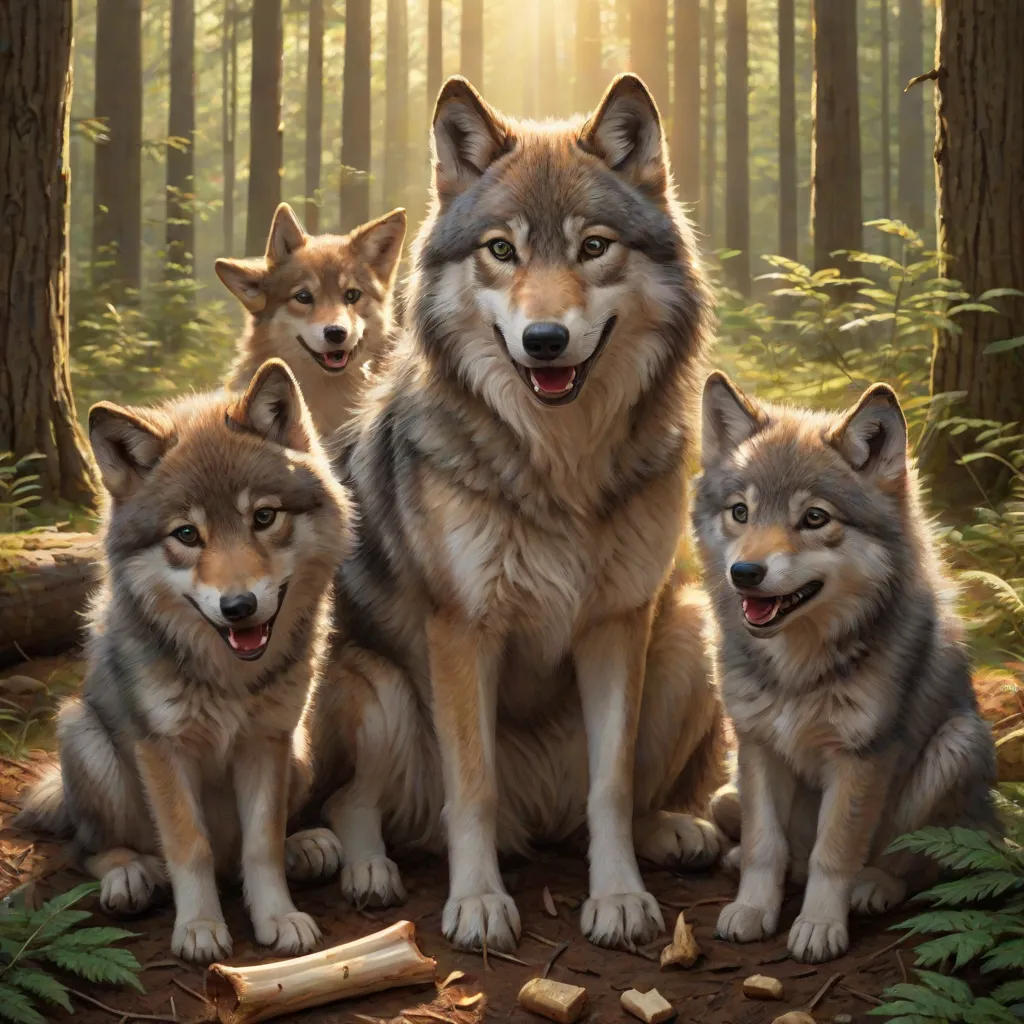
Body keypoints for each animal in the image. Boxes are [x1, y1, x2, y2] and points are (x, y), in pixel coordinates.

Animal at [18, 361, 351, 964]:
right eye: (187, 534)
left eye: (263, 517)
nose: (239, 606)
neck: (229, 679)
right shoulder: (163, 749)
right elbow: (189, 845)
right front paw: (198, 927)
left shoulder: (265, 741)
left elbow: (262, 844)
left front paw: (277, 917)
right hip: (84, 735)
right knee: (91, 849)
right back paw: (131, 875)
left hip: (301, 750)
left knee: (247, 852)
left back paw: (307, 846)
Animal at [310, 73, 725, 954]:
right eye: (501, 250)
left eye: (593, 247)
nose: (544, 340)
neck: (558, 464)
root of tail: (537, 819)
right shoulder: (464, 629)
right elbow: (472, 786)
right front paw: (476, 903)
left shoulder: (617, 622)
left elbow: (611, 787)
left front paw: (620, 899)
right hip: (377, 684)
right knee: (355, 802)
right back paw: (369, 871)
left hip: (688, 635)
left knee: (615, 801)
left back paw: (672, 830)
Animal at [694, 372, 998, 963]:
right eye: (741, 512)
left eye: (814, 518)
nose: (745, 572)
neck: (797, 666)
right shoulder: (757, 745)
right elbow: (766, 844)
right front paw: (753, 908)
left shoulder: (861, 756)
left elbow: (833, 853)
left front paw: (818, 926)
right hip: (726, 793)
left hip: (959, 743)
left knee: (920, 863)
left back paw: (872, 887)